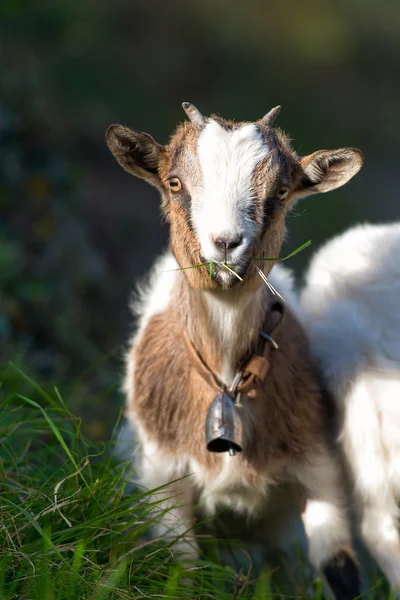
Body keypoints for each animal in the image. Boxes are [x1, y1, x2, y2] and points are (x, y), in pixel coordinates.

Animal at [107, 101, 366, 596]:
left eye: (281, 190)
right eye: (175, 182)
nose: (225, 244)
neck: (226, 378)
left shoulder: (318, 469)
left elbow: (340, 568)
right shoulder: (162, 475)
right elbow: (182, 571)